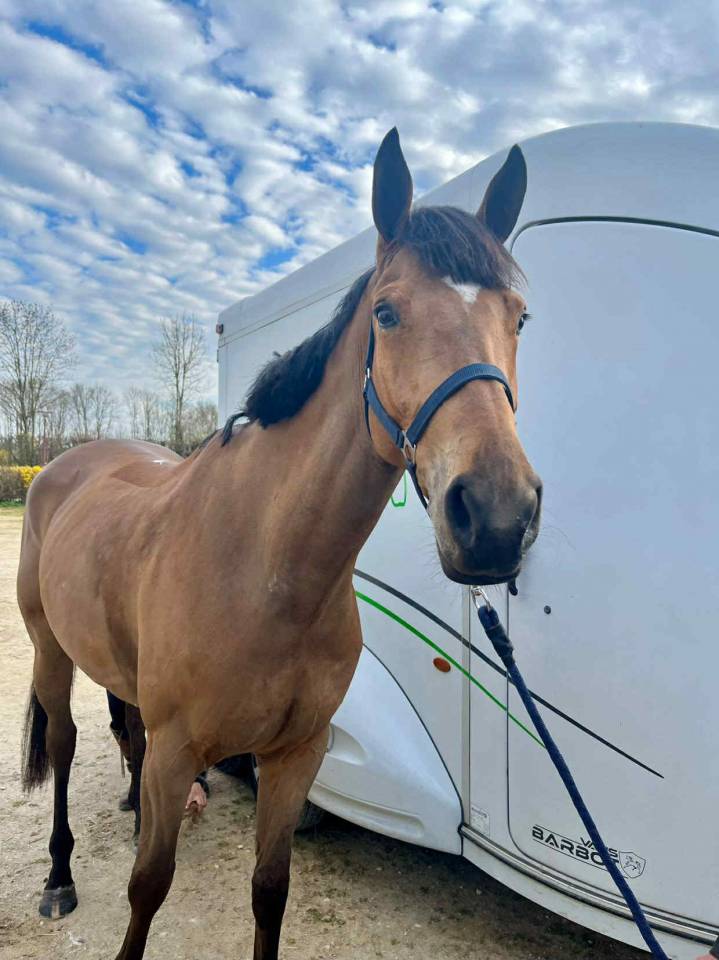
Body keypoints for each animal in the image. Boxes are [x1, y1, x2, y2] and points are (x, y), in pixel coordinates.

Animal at [17, 128, 542, 960]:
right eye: (386, 313)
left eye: (518, 318)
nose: (494, 517)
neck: (266, 574)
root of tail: (64, 467)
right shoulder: (180, 753)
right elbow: (147, 889)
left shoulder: (297, 757)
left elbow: (270, 891)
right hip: (48, 648)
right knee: (65, 745)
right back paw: (59, 877)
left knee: (125, 729)